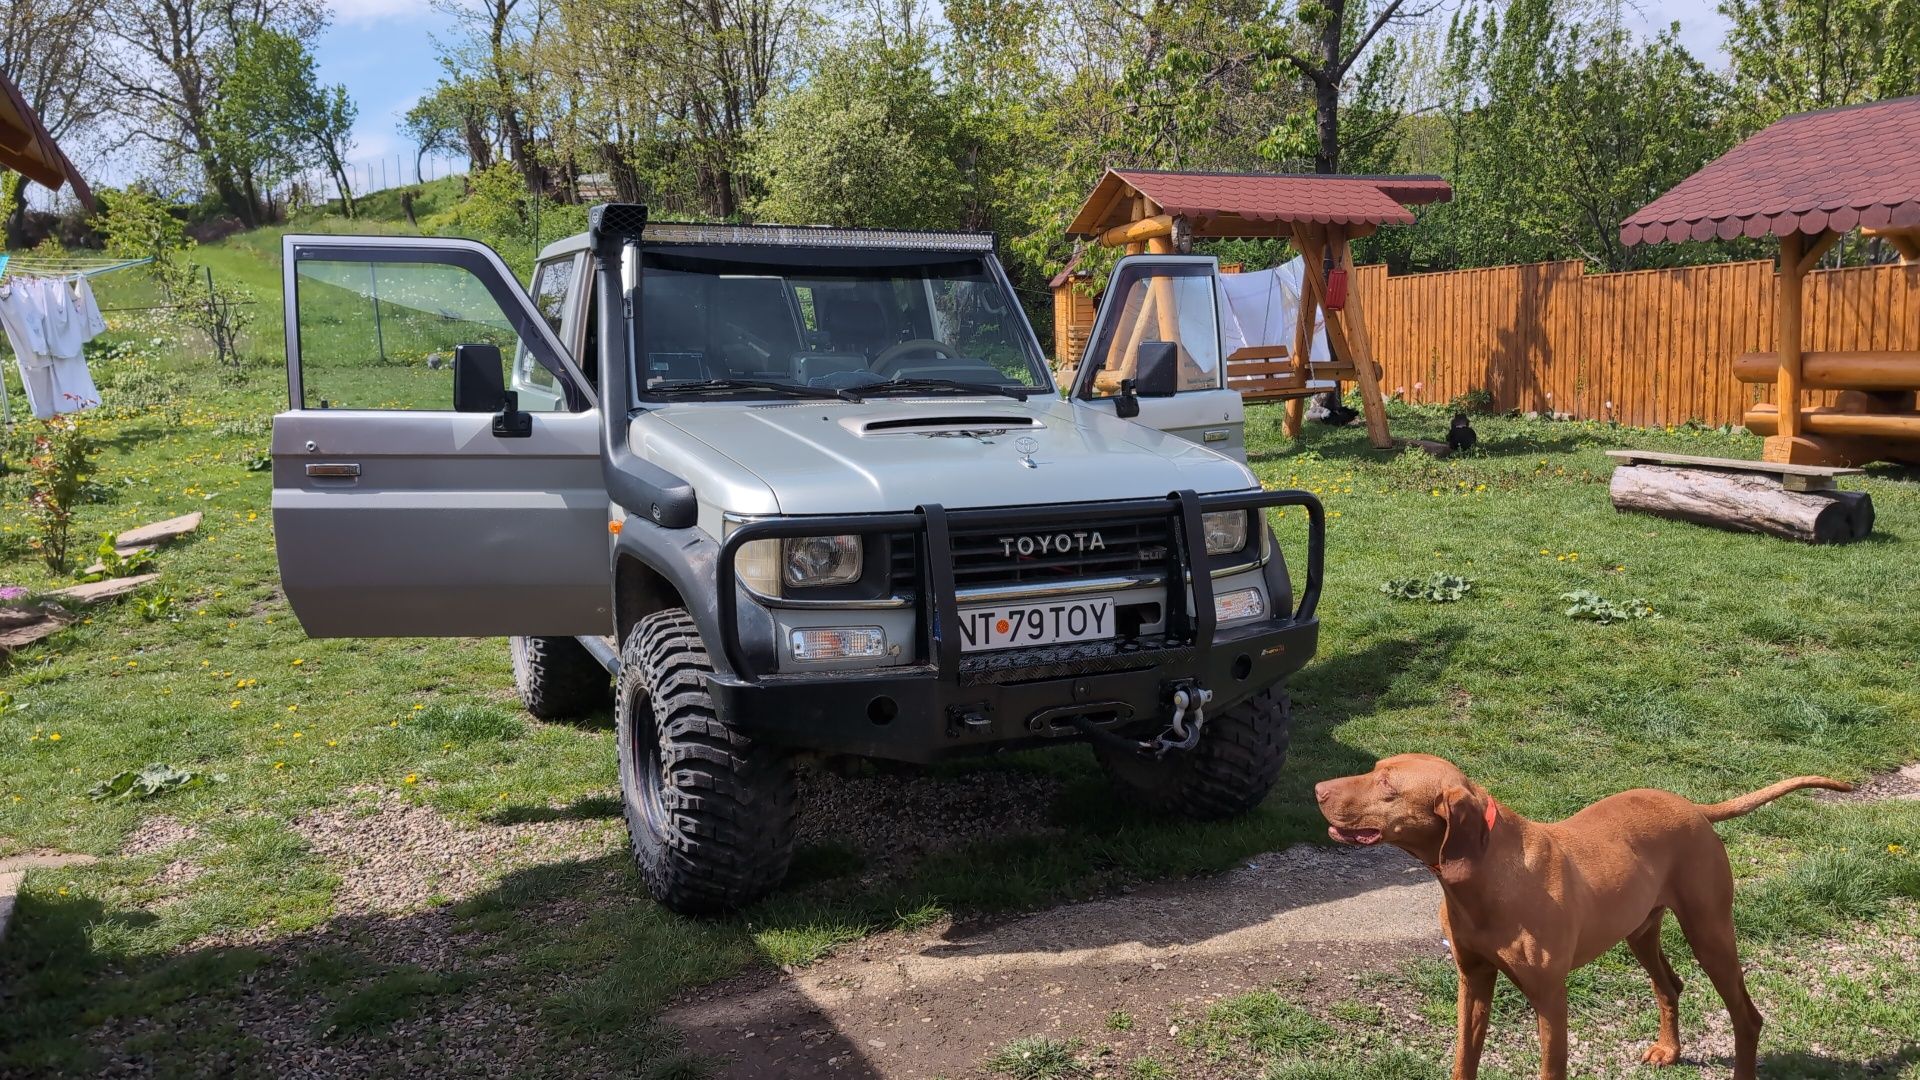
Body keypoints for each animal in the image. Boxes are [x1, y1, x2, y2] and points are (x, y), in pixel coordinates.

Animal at [1313, 753, 1850, 1076]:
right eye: (1376, 768)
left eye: (1386, 784)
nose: (1317, 788)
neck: (1485, 879)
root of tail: (1693, 807)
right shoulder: (1473, 979)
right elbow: (1464, 1058)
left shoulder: (1550, 997)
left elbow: (1551, 1068)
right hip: (1639, 931)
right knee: (1670, 986)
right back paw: (1669, 1049)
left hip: (1711, 933)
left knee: (1747, 1017)